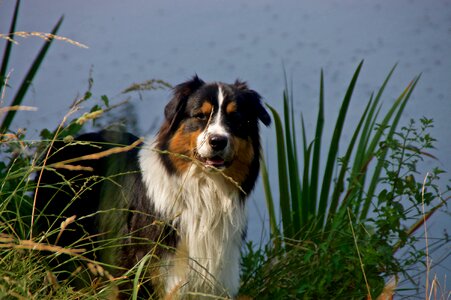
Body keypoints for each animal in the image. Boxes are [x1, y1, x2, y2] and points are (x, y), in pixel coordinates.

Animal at [36, 76, 272, 298]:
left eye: (236, 118)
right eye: (199, 116)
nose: (217, 141)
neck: (202, 191)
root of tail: (62, 143)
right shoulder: (140, 269)